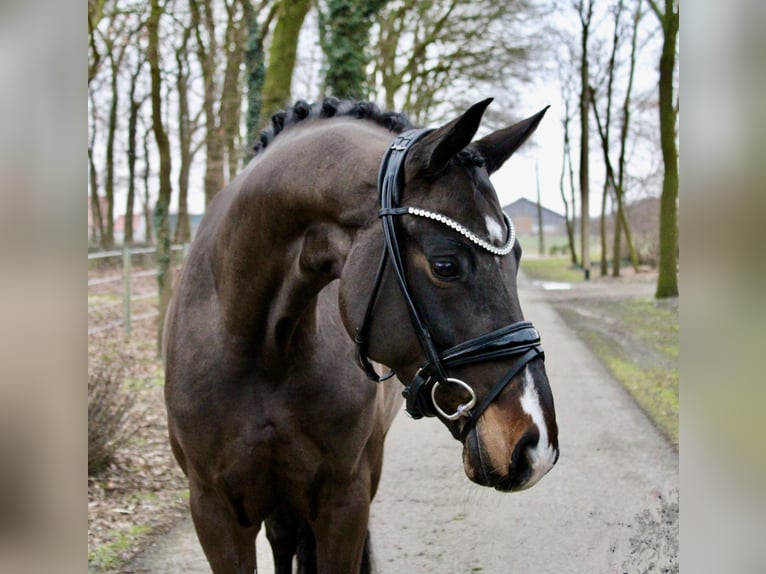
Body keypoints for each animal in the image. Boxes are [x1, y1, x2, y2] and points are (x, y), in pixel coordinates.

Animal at [163, 97, 559, 574]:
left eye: (517, 257)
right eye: (446, 265)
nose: (535, 444)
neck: (261, 350)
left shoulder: (344, 503)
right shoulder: (215, 512)